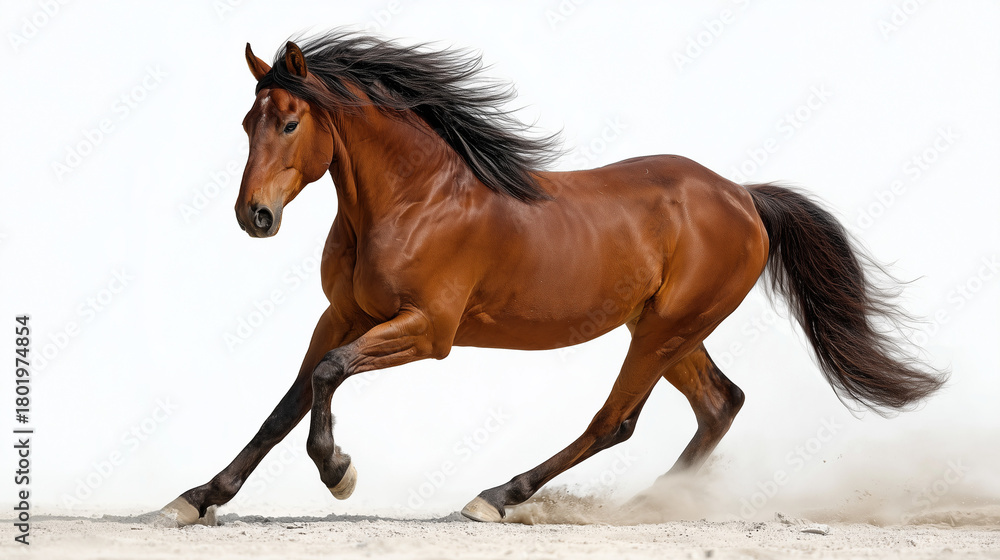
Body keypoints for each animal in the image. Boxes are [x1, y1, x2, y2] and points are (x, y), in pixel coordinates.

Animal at [158, 31, 946, 526]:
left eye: (290, 122)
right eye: (247, 122)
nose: (254, 216)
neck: (414, 198)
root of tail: (743, 197)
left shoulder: (428, 331)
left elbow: (326, 376)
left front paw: (338, 471)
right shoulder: (342, 315)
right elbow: (288, 401)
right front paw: (195, 498)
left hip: (664, 329)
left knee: (616, 421)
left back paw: (500, 496)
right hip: (664, 326)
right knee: (720, 403)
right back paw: (649, 506)